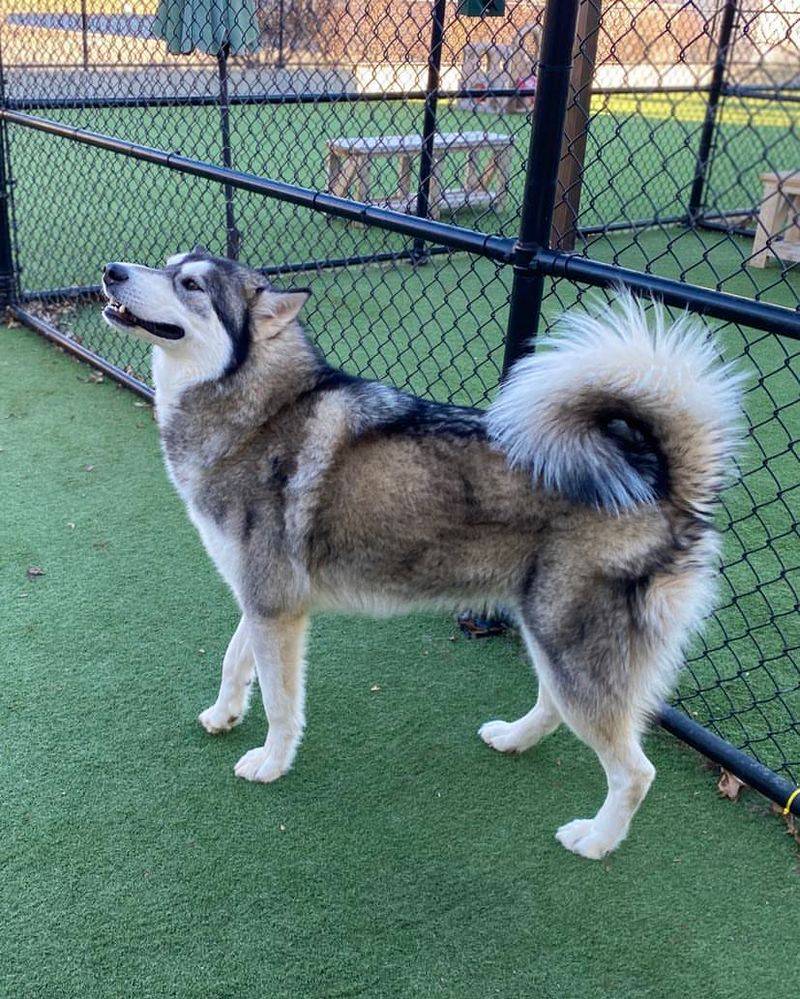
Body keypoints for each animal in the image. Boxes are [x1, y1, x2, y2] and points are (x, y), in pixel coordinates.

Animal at [101, 248, 744, 860]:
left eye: (191, 285)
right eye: (168, 266)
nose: (111, 272)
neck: (260, 412)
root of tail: (659, 482)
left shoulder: (275, 607)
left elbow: (282, 704)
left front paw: (271, 762)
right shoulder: (263, 600)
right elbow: (235, 661)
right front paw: (225, 714)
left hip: (572, 647)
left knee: (635, 771)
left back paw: (597, 839)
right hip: (548, 634)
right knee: (557, 709)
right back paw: (514, 740)